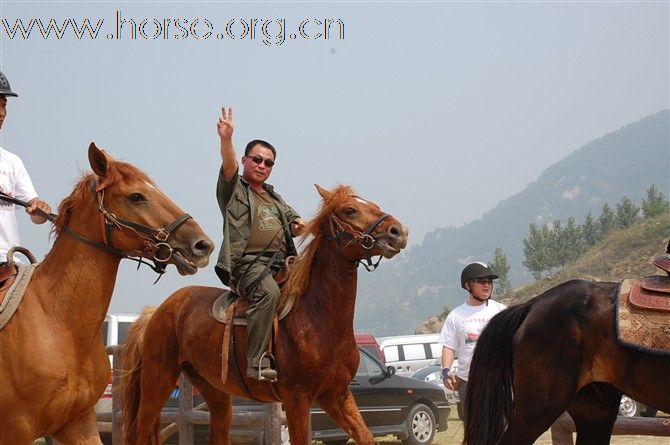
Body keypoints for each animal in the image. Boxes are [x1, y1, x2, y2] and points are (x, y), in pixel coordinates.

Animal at [121, 184, 410, 444]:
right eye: (350, 210)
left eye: (373, 205)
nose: (398, 231)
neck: (318, 319)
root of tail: (157, 312)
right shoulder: (297, 399)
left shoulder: (336, 395)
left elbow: (366, 437)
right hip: (158, 379)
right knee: (137, 432)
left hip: (213, 391)